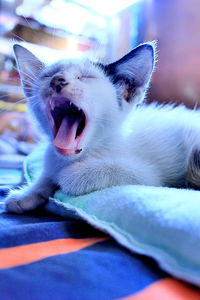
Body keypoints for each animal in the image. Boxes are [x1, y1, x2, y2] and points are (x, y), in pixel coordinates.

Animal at [3, 42, 200, 213]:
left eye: (85, 77)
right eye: (47, 75)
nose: (56, 80)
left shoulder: (149, 176)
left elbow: (121, 170)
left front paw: (71, 176)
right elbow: (48, 173)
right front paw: (28, 193)